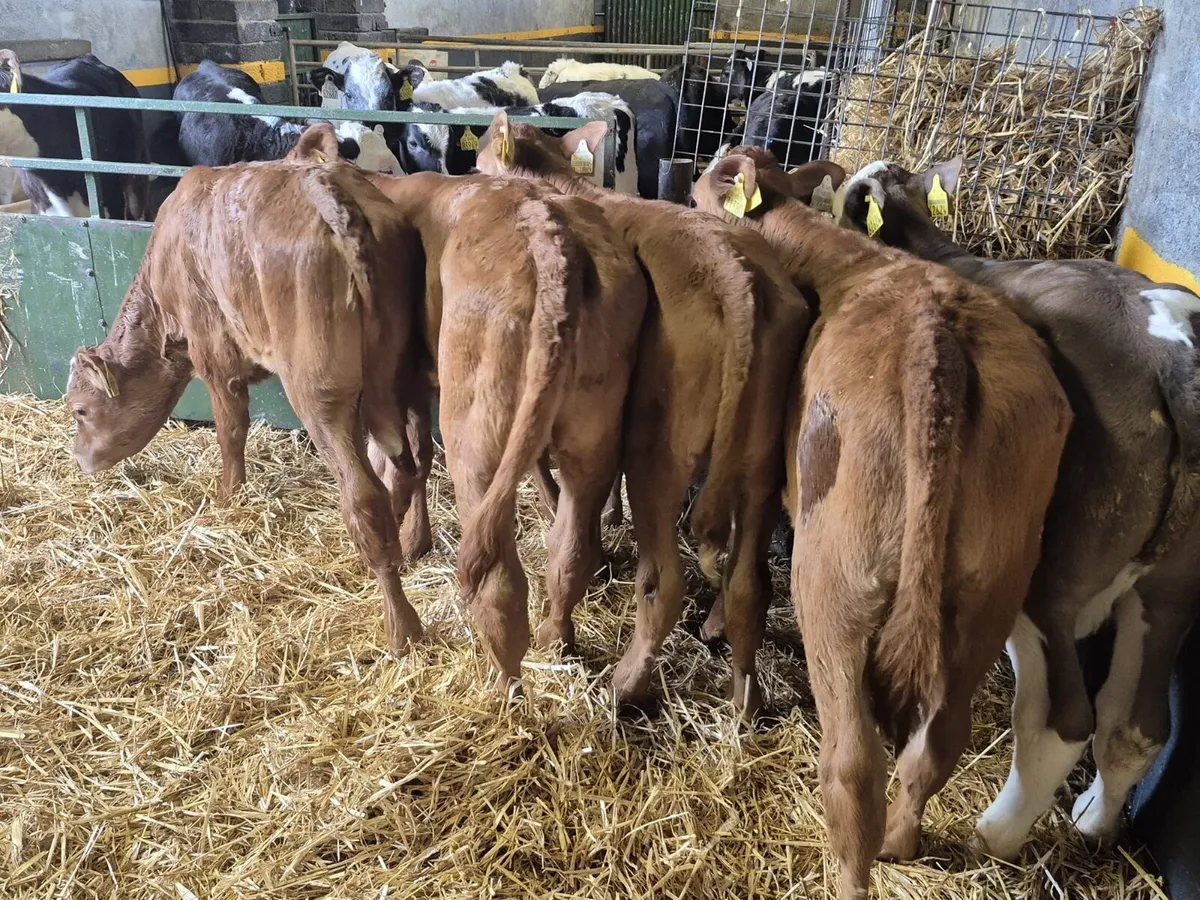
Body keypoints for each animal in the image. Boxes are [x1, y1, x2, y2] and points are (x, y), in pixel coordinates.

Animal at [65, 137, 427, 655]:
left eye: (80, 409)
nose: (79, 460)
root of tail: (330, 192)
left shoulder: (215, 358)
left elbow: (231, 432)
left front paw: (226, 497)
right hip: (402, 377)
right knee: (411, 463)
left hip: (319, 394)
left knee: (364, 495)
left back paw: (401, 628)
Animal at [476, 113, 811, 713]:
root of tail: (737, 276)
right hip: (761, 466)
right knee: (749, 585)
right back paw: (744, 702)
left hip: (660, 455)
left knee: (664, 584)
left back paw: (623, 685)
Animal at [693, 147, 1072, 899]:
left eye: (710, 182)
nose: (688, 190)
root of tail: (937, 338)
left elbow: (745, 574)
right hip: (987, 595)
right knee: (937, 741)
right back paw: (901, 841)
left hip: (835, 586)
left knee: (852, 764)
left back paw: (853, 872)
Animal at [835, 157, 1200, 861]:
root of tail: (1173, 356)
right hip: (1170, 588)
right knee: (1138, 724)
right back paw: (1092, 822)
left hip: (1049, 577)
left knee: (1064, 720)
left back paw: (994, 835)